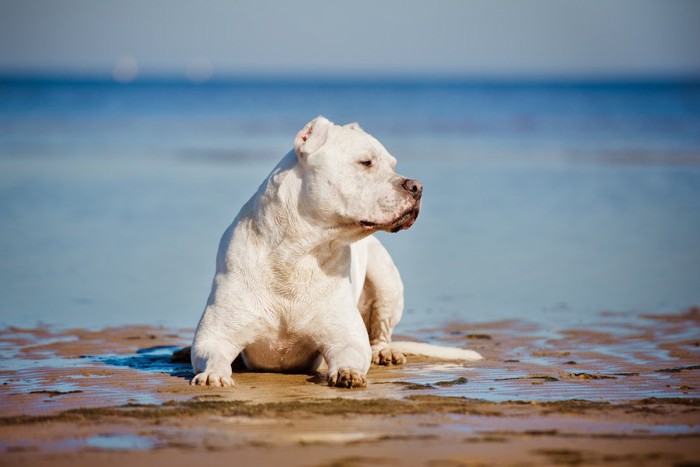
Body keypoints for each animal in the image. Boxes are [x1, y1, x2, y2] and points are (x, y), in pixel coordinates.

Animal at [190, 116, 482, 388]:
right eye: (365, 162)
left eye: (393, 165)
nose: (417, 187)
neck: (299, 254)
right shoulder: (214, 337)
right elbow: (214, 354)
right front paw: (213, 375)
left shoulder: (347, 339)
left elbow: (351, 353)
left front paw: (348, 373)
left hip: (386, 280)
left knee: (381, 332)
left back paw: (385, 352)